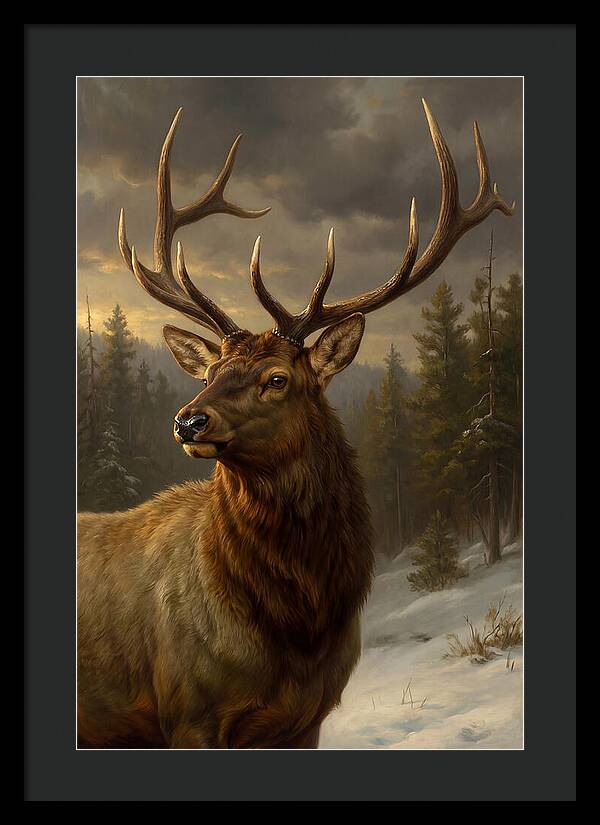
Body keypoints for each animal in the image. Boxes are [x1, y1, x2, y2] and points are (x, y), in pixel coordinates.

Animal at [77, 100, 514, 749]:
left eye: (278, 378)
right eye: (210, 371)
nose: (188, 420)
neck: (297, 629)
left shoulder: (306, 717)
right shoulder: (186, 711)